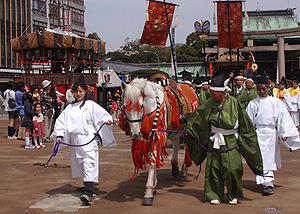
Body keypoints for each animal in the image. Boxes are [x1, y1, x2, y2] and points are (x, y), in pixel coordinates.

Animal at [122, 78, 197, 206]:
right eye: (124, 107)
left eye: (141, 105)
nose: (135, 133)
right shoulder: (150, 137)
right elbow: (151, 160)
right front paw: (154, 186)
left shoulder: (156, 136)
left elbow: (152, 162)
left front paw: (148, 192)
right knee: (176, 143)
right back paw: (175, 167)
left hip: (187, 129)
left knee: (187, 146)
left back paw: (183, 171)